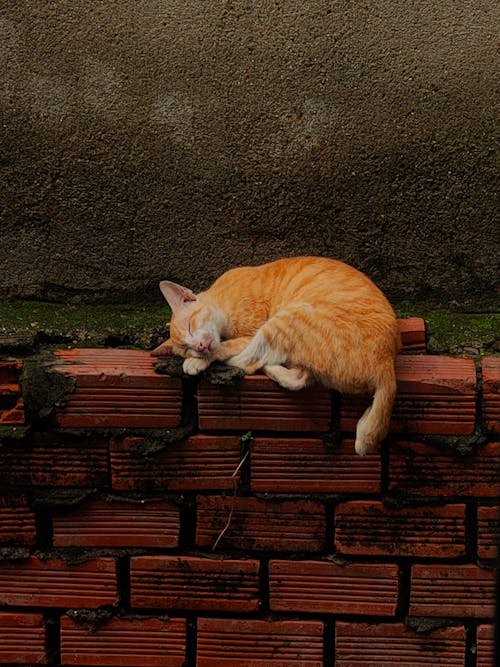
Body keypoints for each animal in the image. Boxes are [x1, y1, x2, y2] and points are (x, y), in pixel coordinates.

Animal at [150, 256, 400, 454]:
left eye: (191, 326)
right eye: (186, 347)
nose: (199, 347)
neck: (222, 299)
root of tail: (387, 365)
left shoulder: (250, 333)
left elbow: (226, 347)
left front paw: (196, 362)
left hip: (284, 318)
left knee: (248, 362)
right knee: (298, 378)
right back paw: (273, 369)